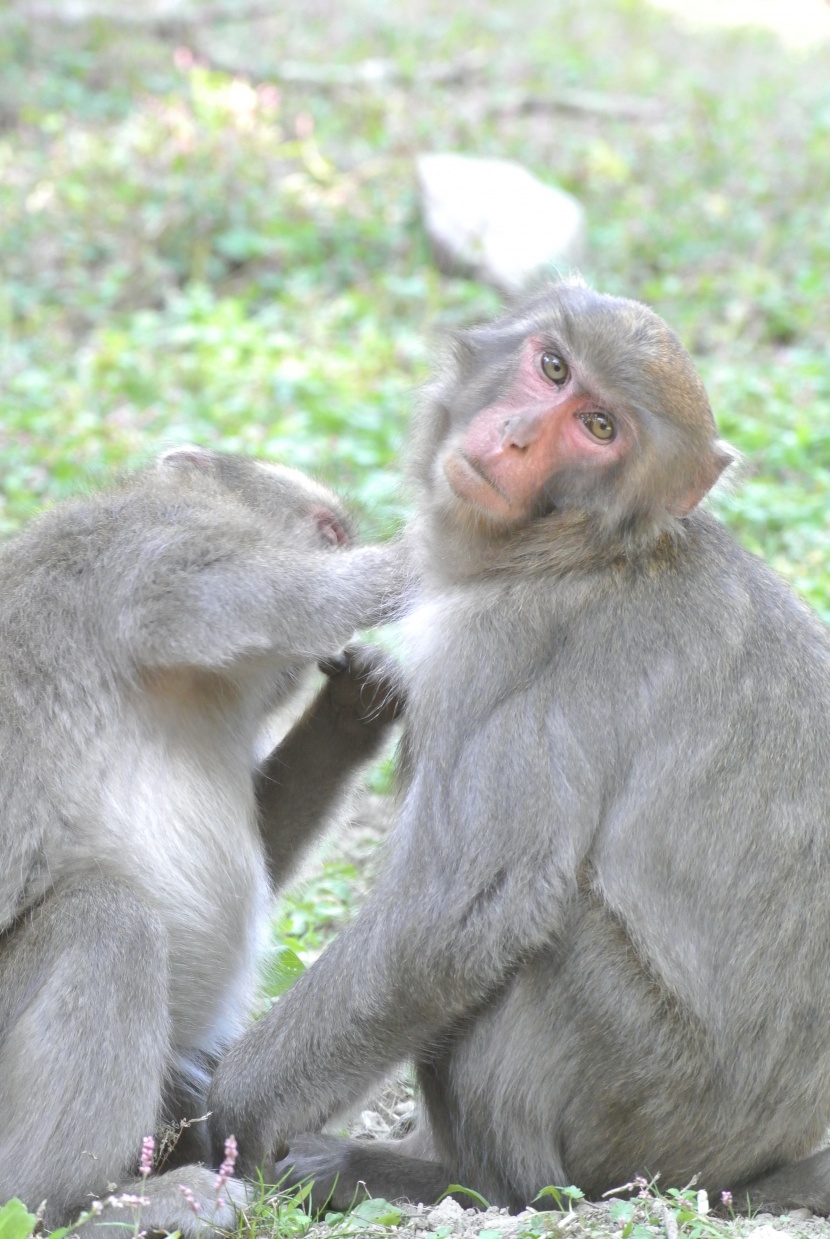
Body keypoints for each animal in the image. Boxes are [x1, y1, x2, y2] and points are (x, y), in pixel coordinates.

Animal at [0, 446, 403, 1229]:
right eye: (330, 534)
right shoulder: (153, 542)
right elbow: (220, 597)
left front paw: (351, 711)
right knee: (109, 921)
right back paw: (85, 1205)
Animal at [208, 284, 830, 1214]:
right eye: (554, 368)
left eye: (601, 428)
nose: (518, 435)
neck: (581, 547)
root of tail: (745, 1168)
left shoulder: (505, 650)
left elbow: (462, 908)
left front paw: (230, 1115)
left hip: (640, 1105)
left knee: (544, 936)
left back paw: (455, 1177)